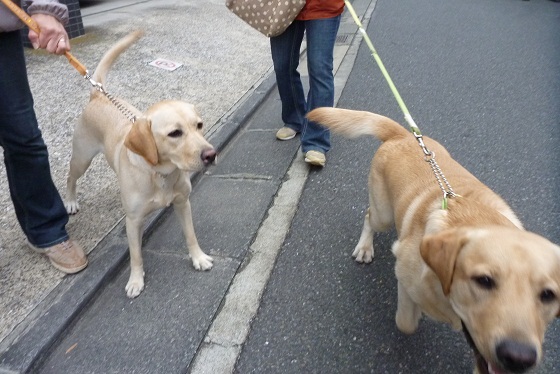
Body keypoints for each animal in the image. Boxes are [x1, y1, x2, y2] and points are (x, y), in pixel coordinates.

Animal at [64, 31, 215, 298]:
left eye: (199, 125)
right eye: (175, 133)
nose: (211, 154)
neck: (160, 173)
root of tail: (98, 94)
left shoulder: (183, 203)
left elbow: (190, 234)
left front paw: (198, 257)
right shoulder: (133, 221)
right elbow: (135, 255)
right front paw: (136, 280)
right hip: (82, 157)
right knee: (71, 177)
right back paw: (71, 201)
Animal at [306, 107, 560, 374]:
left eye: (548, 295)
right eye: (484, 281)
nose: (519, 357)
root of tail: (403, 135)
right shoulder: (404, 272)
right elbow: (406, 321)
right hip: (383, 214)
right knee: (368, 216)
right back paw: (365, 247)